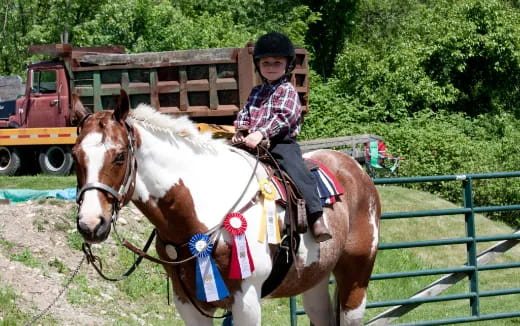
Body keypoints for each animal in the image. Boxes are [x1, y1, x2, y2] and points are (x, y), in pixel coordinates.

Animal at [72, 92, 382, 326]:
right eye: (75, 156)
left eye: (120, 156)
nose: (90, 224)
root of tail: (354, 167)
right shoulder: (189, 303)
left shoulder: (246, 300)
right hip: (314, 279)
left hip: (356, 280)